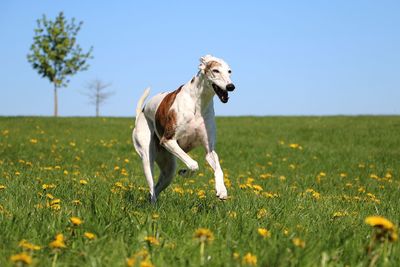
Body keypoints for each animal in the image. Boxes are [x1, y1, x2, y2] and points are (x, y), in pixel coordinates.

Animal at [133, 55, 236, 203]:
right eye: (215, 70)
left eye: (229, 71)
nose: (231, 86)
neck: (198, 103)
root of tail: (141, 112)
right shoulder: (167, 140)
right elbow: (194, 164)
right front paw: (185, 172)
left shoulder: (209, 150)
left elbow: (218, 169)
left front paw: (221, 190)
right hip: (147, 158)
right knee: (152, 187)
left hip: (168, 169)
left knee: (156, 188)